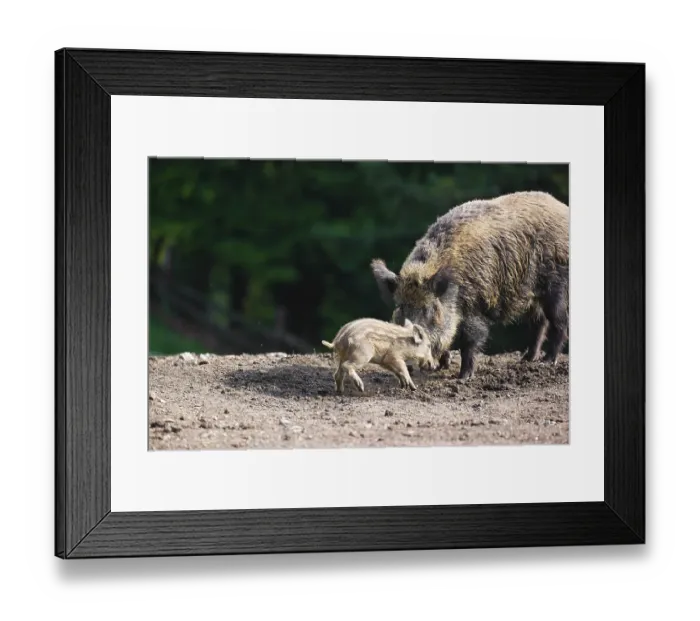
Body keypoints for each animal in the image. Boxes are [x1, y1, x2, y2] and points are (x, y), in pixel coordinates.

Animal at [371, 191, 569, 380]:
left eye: (427, 309)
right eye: (400, 307)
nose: (409, 362)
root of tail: (563, 208)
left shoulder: (475, 307)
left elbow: (469, 341)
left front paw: (463, 377)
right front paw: (442, 366)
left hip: (556, 286)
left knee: (559, 321)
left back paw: (547, 361)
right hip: (530, 296)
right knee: (540, 323)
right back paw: (527, 359)